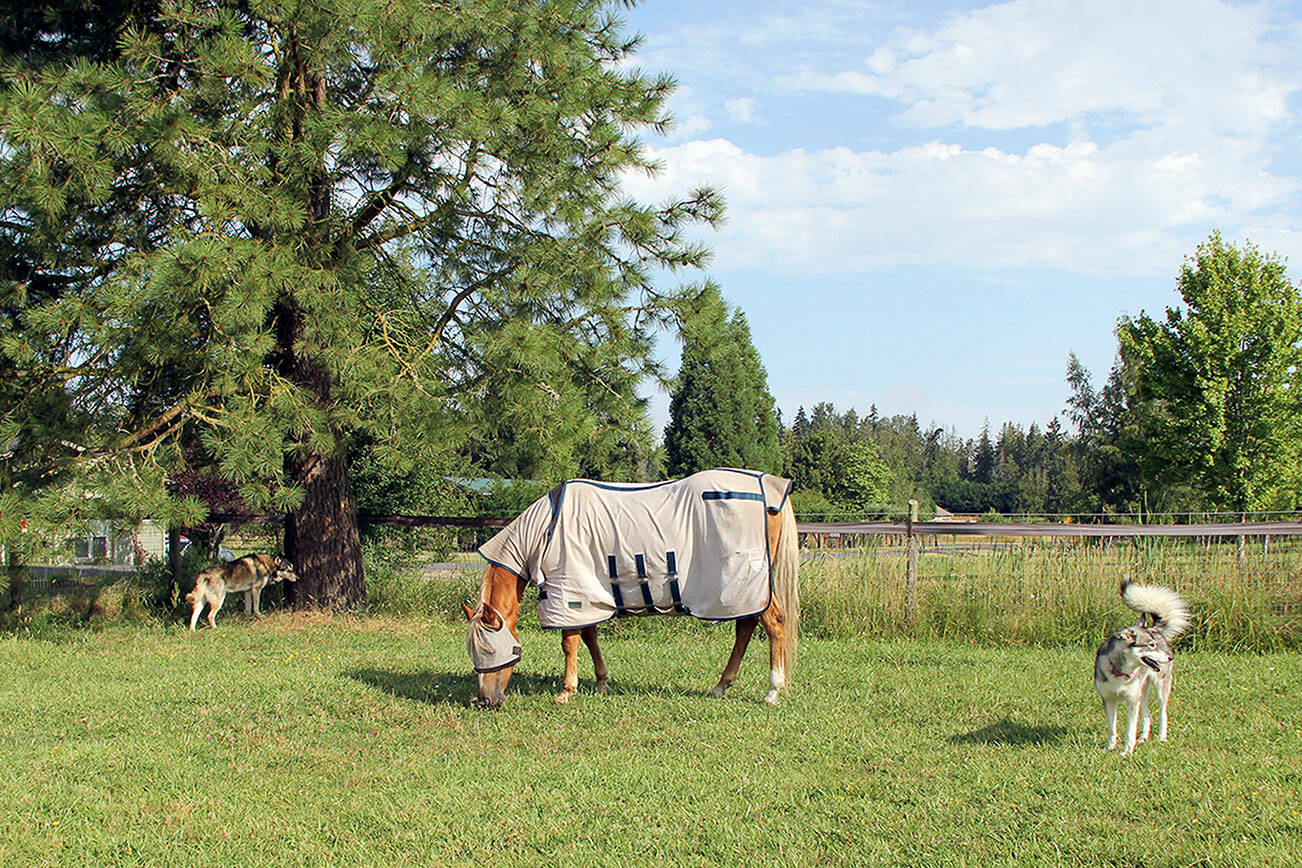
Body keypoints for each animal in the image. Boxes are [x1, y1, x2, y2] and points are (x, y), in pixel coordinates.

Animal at [462, 468, 800, 707]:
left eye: (495, 649)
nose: (485, 701)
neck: (546, 531)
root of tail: (770, 487)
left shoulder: (569, 595)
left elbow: (570, 644)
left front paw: (566, 691)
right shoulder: (588, 597)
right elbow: (590, 637)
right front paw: (601, 682)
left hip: (749, 585)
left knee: (774, 624)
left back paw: (772, 691)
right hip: (743, 592)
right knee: (745, 628)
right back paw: (721, 686)